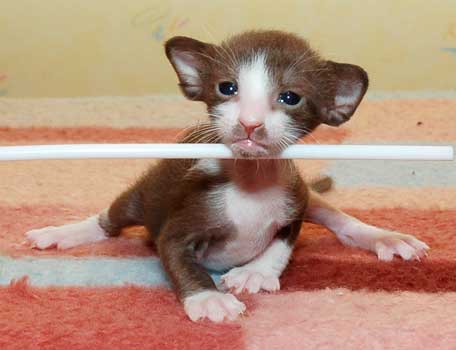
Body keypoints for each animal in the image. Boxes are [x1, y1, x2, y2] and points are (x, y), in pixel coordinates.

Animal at [25, 30, 430, 322]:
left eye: (290, 97)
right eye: (227, 88)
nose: (249, 123)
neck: (250, 181)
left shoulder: (292, 204)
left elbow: (282, 243)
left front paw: (257, 273)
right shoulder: (183, 218)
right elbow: (179, 259)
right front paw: (208, 299)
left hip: (309, 198)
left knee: (337, 219)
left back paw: (386, 238)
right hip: (147, 192)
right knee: (111, 218)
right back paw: (64, 233)